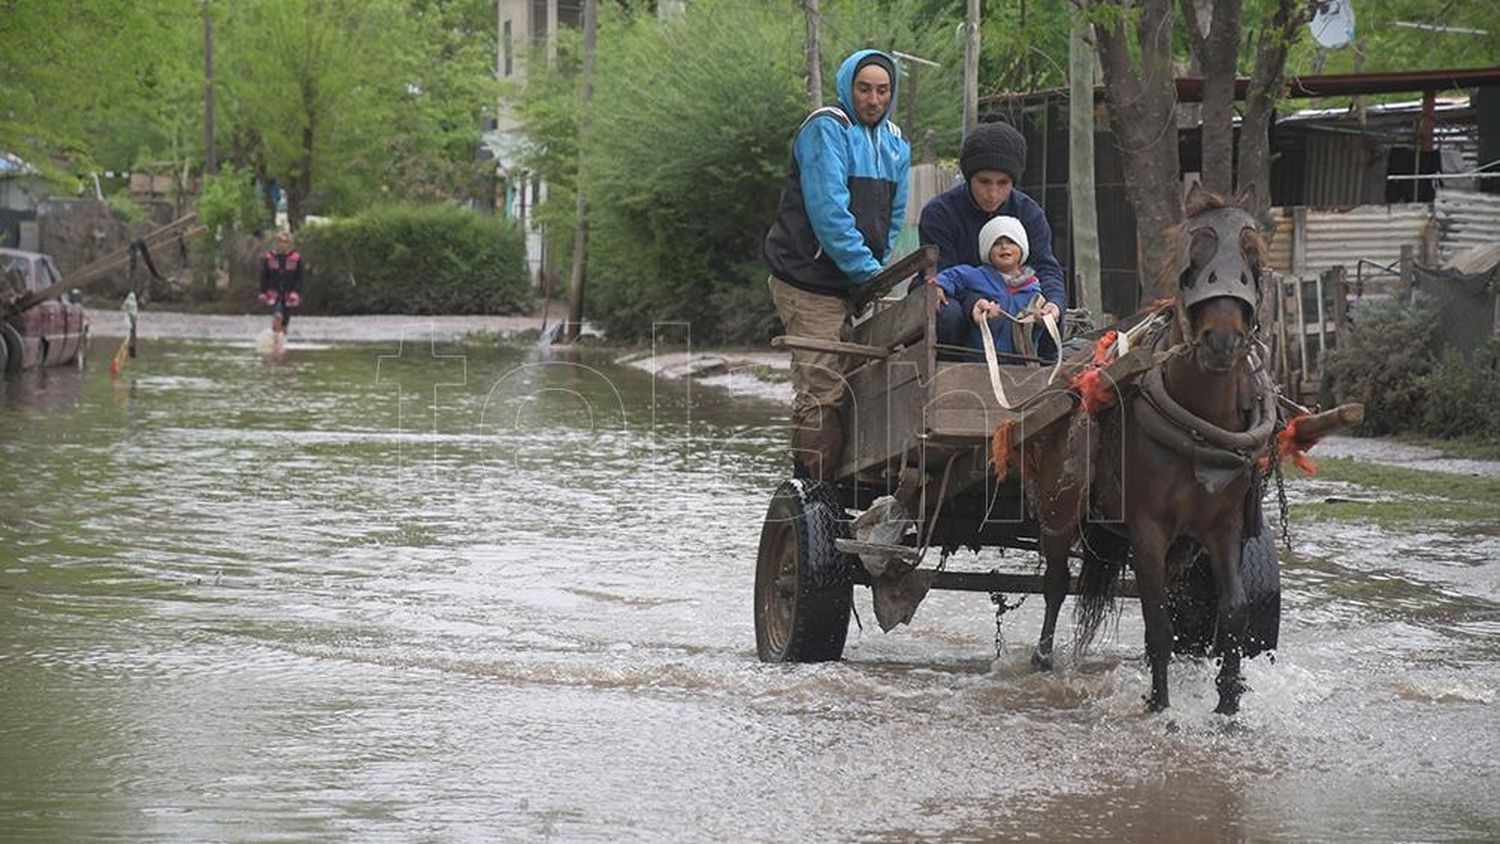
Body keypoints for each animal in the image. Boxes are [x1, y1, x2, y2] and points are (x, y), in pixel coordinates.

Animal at [1026, 183, 1272, 713]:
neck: (1199, 423)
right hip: (1060, 506)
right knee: (1055, 584)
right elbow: (1157, 621)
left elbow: (1235, 613)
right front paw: (1159, 705)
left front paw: (1228, 703)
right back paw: (1041, 658)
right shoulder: (1147, 529)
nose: (1222, 339)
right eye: (1192, 257)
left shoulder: (1223, 526)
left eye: (1252, 255)